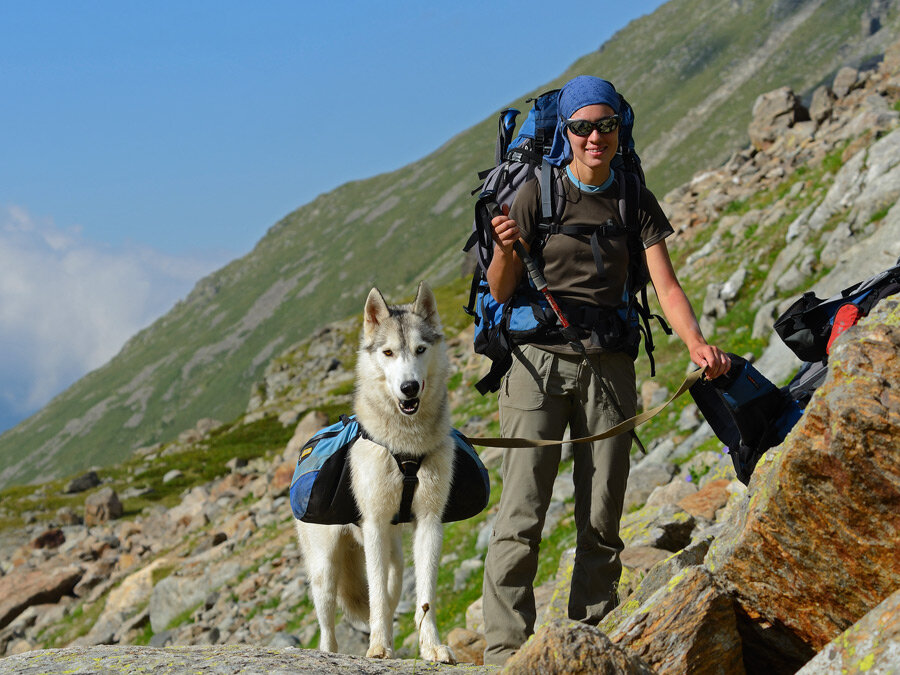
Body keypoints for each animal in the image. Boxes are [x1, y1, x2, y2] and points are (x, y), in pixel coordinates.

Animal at [296, 282, 454, 664]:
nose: (409, 387)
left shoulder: (430, 522)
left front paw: (432, 647)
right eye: (388, 352)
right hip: (325, 570)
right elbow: (377, 597)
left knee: (392, 589)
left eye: (420, 349)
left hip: (395, 559)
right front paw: (378, 647)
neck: (406, 446)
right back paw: (332, 652)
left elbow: (425, 596)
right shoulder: (376, 525)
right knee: (328, 628)